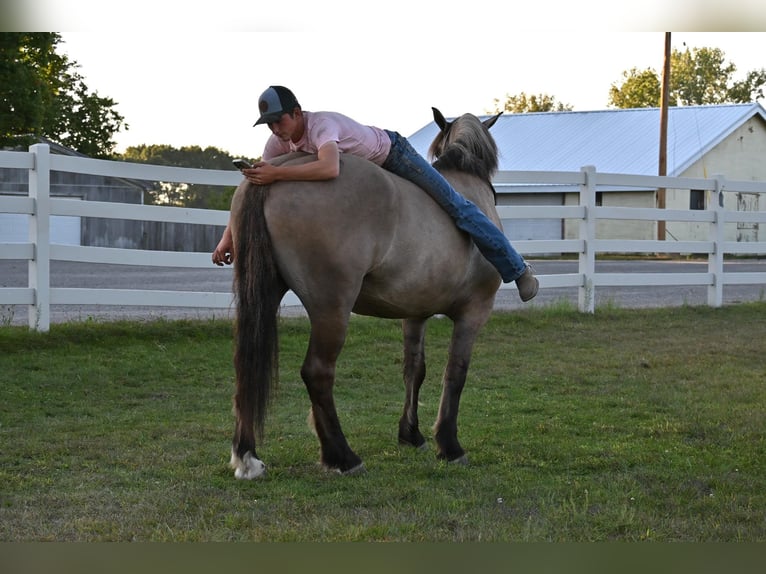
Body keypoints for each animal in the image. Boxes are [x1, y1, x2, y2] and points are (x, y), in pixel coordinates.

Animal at [230, 108, 510, 482]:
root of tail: (269, 175)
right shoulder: (473, 312)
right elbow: (456, 373)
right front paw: (450, 446)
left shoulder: (415, 313)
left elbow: (415, 369)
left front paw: (411, 435)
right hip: (332, 307)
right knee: (317, 372)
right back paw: (343, 457)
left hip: (265, 296)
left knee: (246, 365)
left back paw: (248, 456)